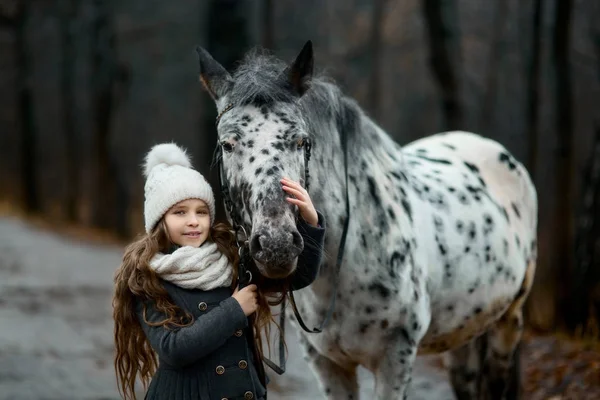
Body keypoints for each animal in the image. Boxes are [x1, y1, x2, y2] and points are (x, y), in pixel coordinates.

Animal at [196, 41, 540, 400]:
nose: (277, 245)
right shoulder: (327, 365)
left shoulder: (395, 360)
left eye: (302, 141)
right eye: (227, 144)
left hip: (508, 322)